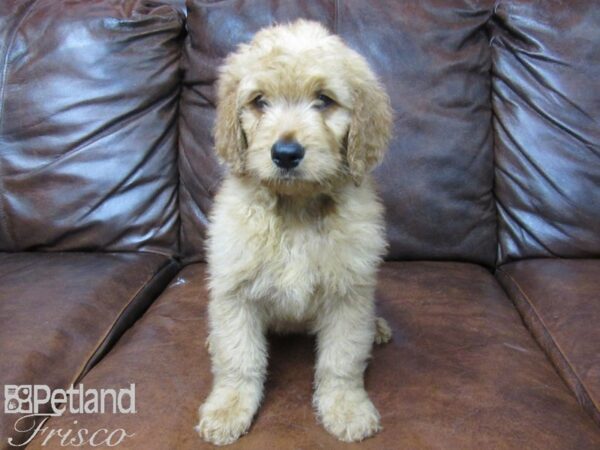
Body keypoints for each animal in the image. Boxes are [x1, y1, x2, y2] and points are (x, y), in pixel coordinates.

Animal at [197, 18, 394, 446]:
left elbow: (342, 360)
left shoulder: (349, 294)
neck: (295, 211)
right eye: (259, 101)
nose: (285, 154)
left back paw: (377, 327)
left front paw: (346, 408)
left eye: (323, 100)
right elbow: (238, 358)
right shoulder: (235, 292)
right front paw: (228, 409)